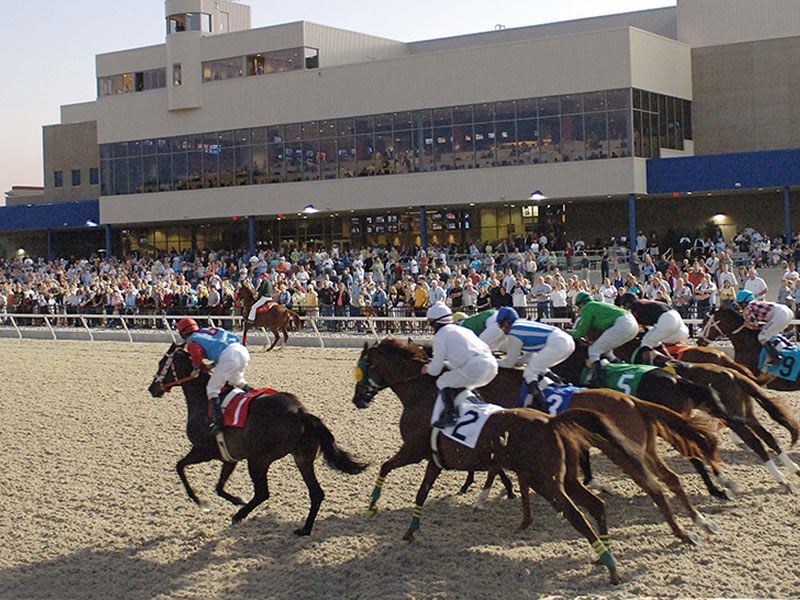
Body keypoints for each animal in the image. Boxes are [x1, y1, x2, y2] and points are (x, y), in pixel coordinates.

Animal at [150, 342, 368, 536]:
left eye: (162, 363)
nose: (152, 388)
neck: (202, 399)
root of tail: (300, 412)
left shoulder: (203, 450)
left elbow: (180, 467)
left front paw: (200, 501)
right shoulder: (229, 456)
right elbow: (219, 487)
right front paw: (236, 499)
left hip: (258, 459)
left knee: (263, 492)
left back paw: (239, 516)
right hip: (302, 458)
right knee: (316, 493)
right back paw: (304, 529)